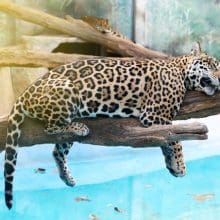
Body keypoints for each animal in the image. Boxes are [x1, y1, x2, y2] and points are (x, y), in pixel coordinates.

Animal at [3, 42, 220, 209]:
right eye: (210, 65)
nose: (219, 77)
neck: (180, 69)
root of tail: (24, 93)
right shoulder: (154, 114)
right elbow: (174, 140)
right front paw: (180, 165)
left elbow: (167, 139)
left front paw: (172, 165)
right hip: (67, 91)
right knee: (51, 128)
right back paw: (79, 128)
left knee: (57, 150)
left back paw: (68, 177)